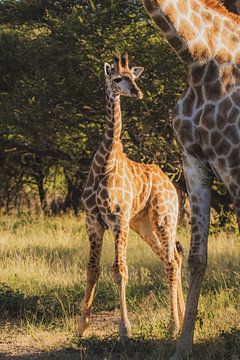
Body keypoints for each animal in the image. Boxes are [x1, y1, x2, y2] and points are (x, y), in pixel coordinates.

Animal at [79, 52, 185, 338]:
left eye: (134, 77)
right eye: (117, 78)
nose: (138, 92)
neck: (105, 164)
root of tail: (172, 186)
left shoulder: (119, 221)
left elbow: (120, 270)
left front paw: (125, 329)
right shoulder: (93, 222)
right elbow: (92, 270)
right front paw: (81, 327)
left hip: (164, 218)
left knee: (171, 261)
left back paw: (173, 326)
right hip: (144, 225)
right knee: (173, 258)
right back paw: (183, 320)